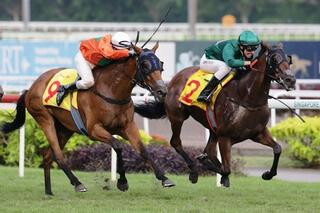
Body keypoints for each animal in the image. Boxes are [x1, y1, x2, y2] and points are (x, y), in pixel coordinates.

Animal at [0, 42, 175, 195]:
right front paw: (122, 182)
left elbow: (143, 149)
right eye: (145, 65)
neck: (111, 91)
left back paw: (49, 192)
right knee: (57, 154)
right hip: (44, 118)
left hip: (64, 128)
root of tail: (31, 88)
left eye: (161, 65)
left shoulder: (127, 127)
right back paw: (78, 183)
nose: (162, 91)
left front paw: (164, 178)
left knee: (48, 155)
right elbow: (118, 146)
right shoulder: (94, 129)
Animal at [134, 44, 296, 186]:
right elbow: (226, 168)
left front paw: (268, 174)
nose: (290, 80)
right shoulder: (225, 136)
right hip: (178, 116)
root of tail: (173, 80)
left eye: (288, 59)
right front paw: (204, 163)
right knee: (176, 142)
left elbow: (277, 148)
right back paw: (194, 171)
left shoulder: (257, 132)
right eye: (274, 59)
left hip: (212, 128)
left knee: (210, 151)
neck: (246, 96)